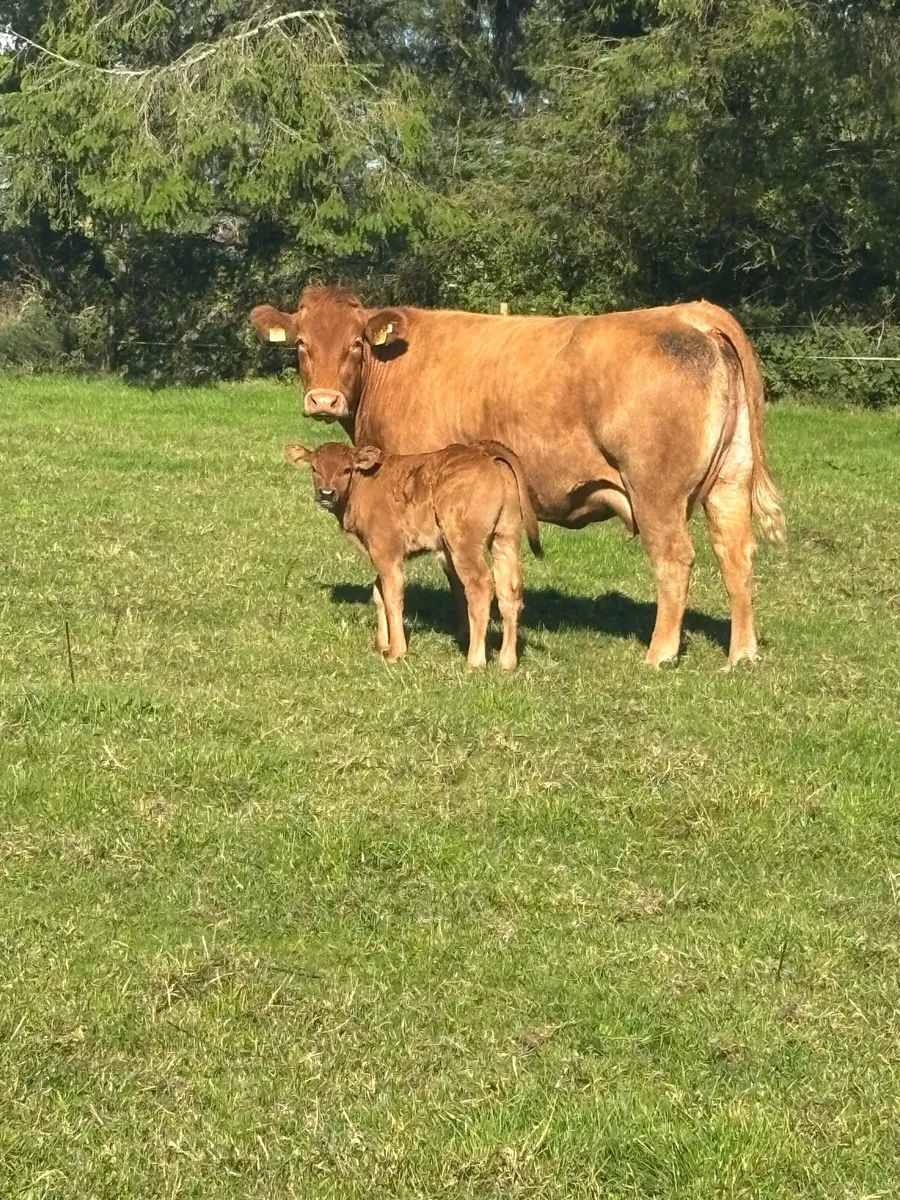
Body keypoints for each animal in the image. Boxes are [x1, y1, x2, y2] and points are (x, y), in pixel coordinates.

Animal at [285, 440, 543, 669]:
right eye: (314, 468)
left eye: (346, 469)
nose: (326, 493)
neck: (365, 483)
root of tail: (483, 451)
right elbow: (378, 593)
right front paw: (382, 645)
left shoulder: (386, 552)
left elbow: (392, 596)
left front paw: (396, 652)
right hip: (506, 537)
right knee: (509, 591)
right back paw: (507, 662)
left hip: (463, 544)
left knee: (480, 586)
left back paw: (475, 662)